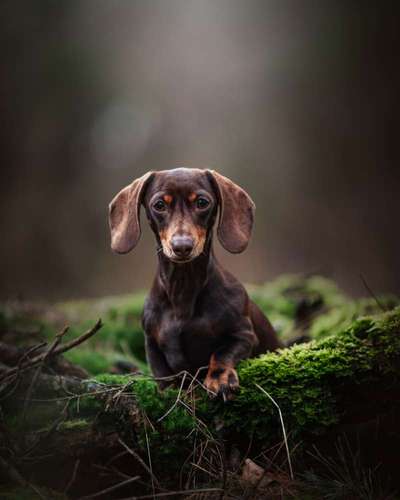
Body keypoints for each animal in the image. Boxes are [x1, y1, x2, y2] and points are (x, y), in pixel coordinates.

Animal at [108, 168, 280, 398]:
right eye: (159, 205)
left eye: (202, 202)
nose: (182, 246)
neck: (184, 288)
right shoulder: (151, 344)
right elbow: (163, 376)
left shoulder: (244, 335)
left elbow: (222, 353)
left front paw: (220, 379)